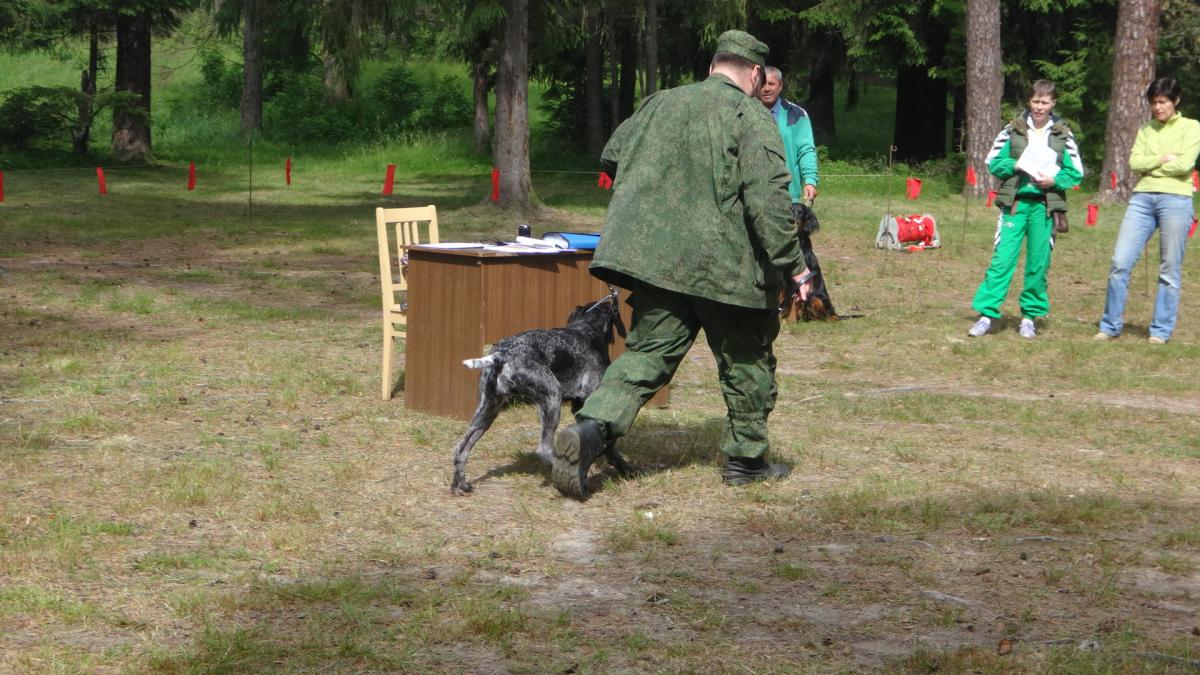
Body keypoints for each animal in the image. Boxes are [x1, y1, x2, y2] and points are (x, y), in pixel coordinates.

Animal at [450, 289, 638, 495]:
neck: (587, 330)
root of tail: (502, 354)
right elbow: (609, 443)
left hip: (487, 412)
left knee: (460, 449)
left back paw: (459, 485)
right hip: (552, 397)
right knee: (545, 450)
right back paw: (572, 470)